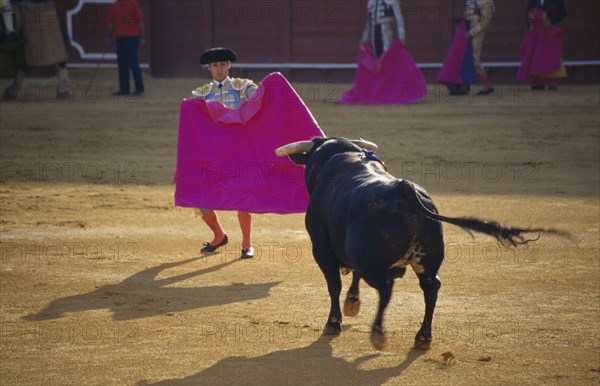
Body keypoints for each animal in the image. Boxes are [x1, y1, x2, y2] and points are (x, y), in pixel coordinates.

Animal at [276, 137, 564, 352]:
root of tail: (405, 191)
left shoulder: (321, 248)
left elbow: (334, 285)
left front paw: (333, 322)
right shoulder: (354, 250)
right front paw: (352, 303)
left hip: (374, 264)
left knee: (386, 287)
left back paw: (378, 334)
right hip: (426, 260)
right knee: (431, 287)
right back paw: (422, 337)